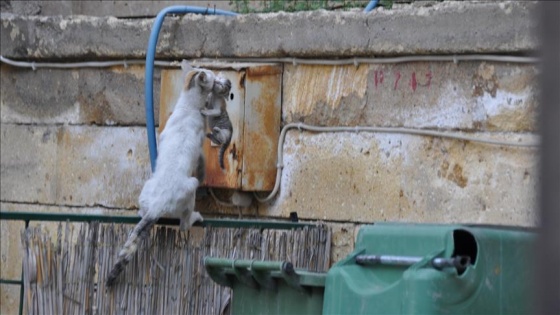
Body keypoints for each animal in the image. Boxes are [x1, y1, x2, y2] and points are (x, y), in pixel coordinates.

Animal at [107, 63, 225, 288]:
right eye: (212, 78)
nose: (218, 78)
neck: (188, 105)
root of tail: (157, 206)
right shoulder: (199, 149)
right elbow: (202, 164)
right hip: (190, 186)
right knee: (184, 224)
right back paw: (195, 217)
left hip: (146, 188)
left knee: (144, 213)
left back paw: (141, 213)